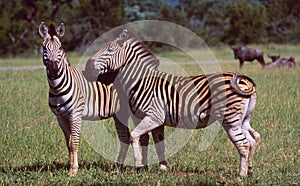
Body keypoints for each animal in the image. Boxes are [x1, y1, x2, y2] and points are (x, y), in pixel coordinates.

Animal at [38, 22, 165, 176]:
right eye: (44, 48)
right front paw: (71, 168)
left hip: (135, 112)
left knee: (144, 137)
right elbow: (68, 144)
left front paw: (73, 171)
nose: (54, 70)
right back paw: (118, 167)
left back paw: (143, 167)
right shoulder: (60, 118)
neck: (57, 87)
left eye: (60, 47)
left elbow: (74, 142)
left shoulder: (75, 114)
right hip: (120, 113)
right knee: (125, 138)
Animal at [84, 29, 260, 178]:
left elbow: (134, 136)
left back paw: (241, 175)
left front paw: (139, 166)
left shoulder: (154, 116)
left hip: (230, 119)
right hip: (243, 119)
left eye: (109, 51)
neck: (141, 82)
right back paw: (250, 170)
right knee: (252, 140)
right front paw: (160, 168)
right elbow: (156, 144)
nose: (87, 66)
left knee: (243, 144)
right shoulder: (153, 120)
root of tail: (244, 81)